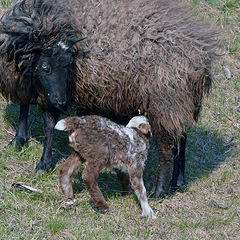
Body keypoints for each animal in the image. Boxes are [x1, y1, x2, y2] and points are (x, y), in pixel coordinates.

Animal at [0, 0, 218, 197]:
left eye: (68, 65)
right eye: (45, 67)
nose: (61, 101)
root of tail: (201, 60)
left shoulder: (52, 91)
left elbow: (49, 125)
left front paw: (43, 163)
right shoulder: (30, 83)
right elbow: (24, 106)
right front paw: (19, 140)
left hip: (165, 100)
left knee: (166, 149)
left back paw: (159, 191)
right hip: (180, 103)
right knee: (182, 138)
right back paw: (178, 182)